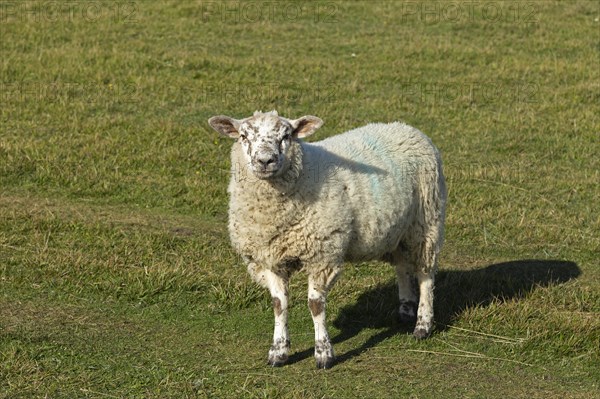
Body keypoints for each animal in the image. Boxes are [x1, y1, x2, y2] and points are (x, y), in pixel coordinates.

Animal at [206, 111, 446, 370]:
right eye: (243, 136)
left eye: (286, 135)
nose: (265, 160)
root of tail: (405, 127)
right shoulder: (270, 257)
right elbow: (279, 304)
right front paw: (278, 352)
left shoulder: (322, 255)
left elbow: (315, 305)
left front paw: (323, 353)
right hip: (397, 229)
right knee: (402, 266)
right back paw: (406, 309)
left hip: (426, 221)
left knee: (425, 275)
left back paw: (422, 324)